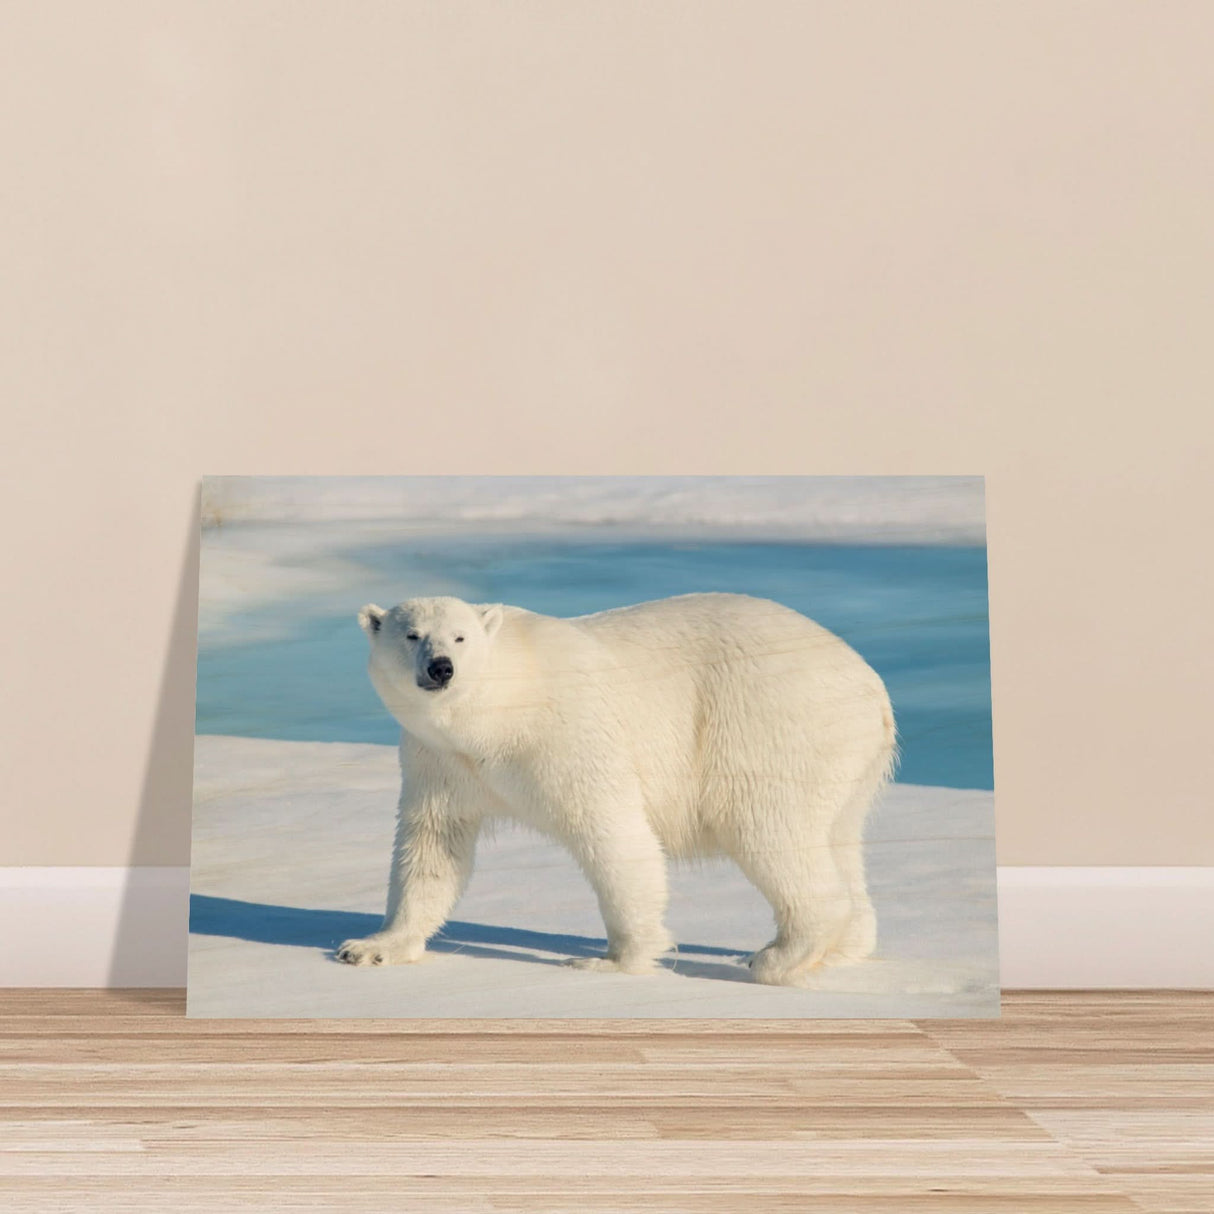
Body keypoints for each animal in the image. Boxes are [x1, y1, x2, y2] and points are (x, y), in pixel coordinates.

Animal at [336, 592, 897, 986]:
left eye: (459, 638)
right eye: (412, 635)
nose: (441, 669)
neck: (498, 711)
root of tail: (871, 684)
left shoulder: (566, 734)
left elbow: (612, 834)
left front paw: (611, 961)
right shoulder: (441, 761)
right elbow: (432, 846)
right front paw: (371, 947)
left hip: (769, 721)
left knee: (768, 827)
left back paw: (775, 957)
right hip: (846, 759)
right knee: (838, 837)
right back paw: (844, 949)